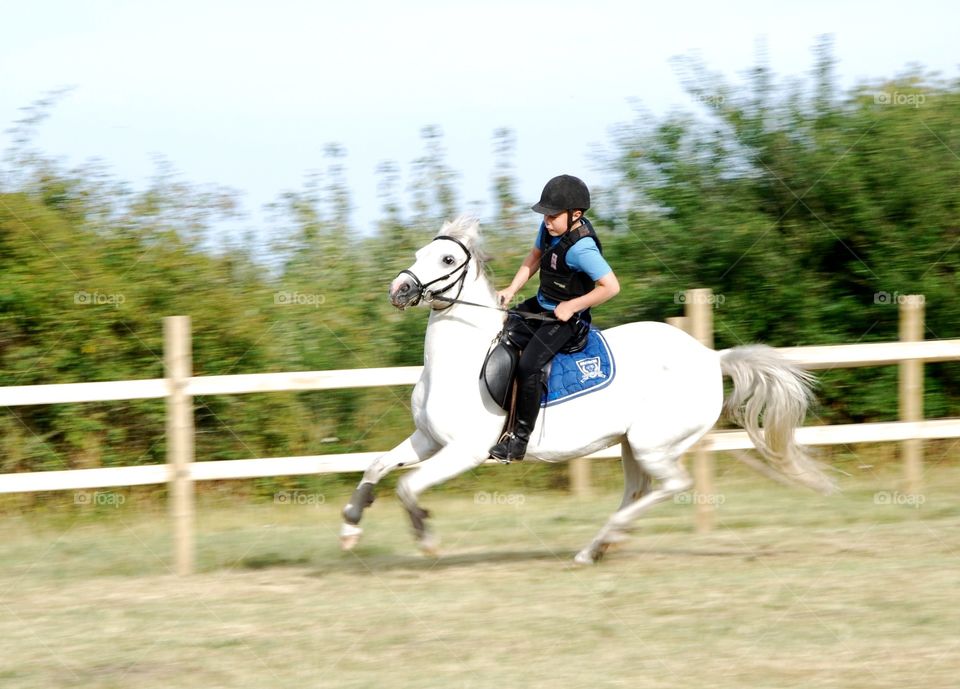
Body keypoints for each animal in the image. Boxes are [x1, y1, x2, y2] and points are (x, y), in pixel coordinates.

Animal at [339, 216, 835, 564]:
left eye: (445, 261)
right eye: (420, 252)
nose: (399, 289)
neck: (460, 361)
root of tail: (710, 358)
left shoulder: (465, 451)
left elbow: (408, 486)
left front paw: (426, 539)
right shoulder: (427, 439)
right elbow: (377, 466)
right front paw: (349, 528)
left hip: (654, 443)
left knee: (674, 485)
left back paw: (602, 541)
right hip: (631, 445)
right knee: (637, 491)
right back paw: (598, 546)